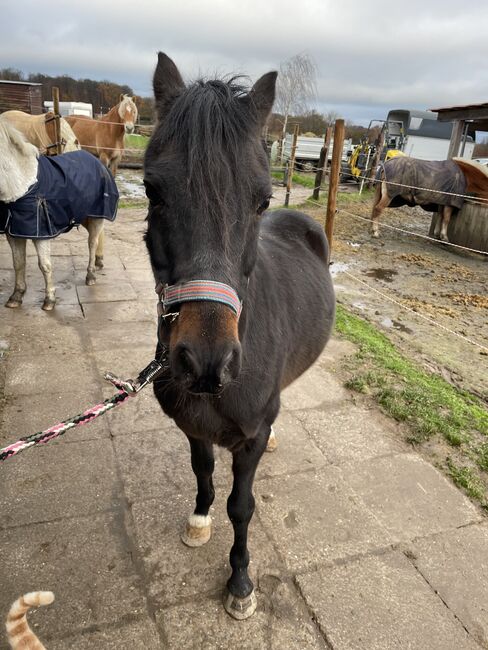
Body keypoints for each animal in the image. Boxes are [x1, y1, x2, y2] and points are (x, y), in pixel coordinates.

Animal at [0, 124, 118, 312]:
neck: (23, 183)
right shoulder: (14, 233)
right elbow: (18, 263)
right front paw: (16, 296)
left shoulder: (41, 234)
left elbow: (45, 265)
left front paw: (49, 299)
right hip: (85, 216)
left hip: (96, 216)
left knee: (92, 243)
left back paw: (91, 274)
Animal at [145, 53, 336, 620]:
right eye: (152, 191)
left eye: (261, 201)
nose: (206, 362)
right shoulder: (193, 426)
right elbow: (203, 469)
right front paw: (198, 520)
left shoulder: (246, 439)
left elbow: (242, 505)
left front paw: (240, 581)